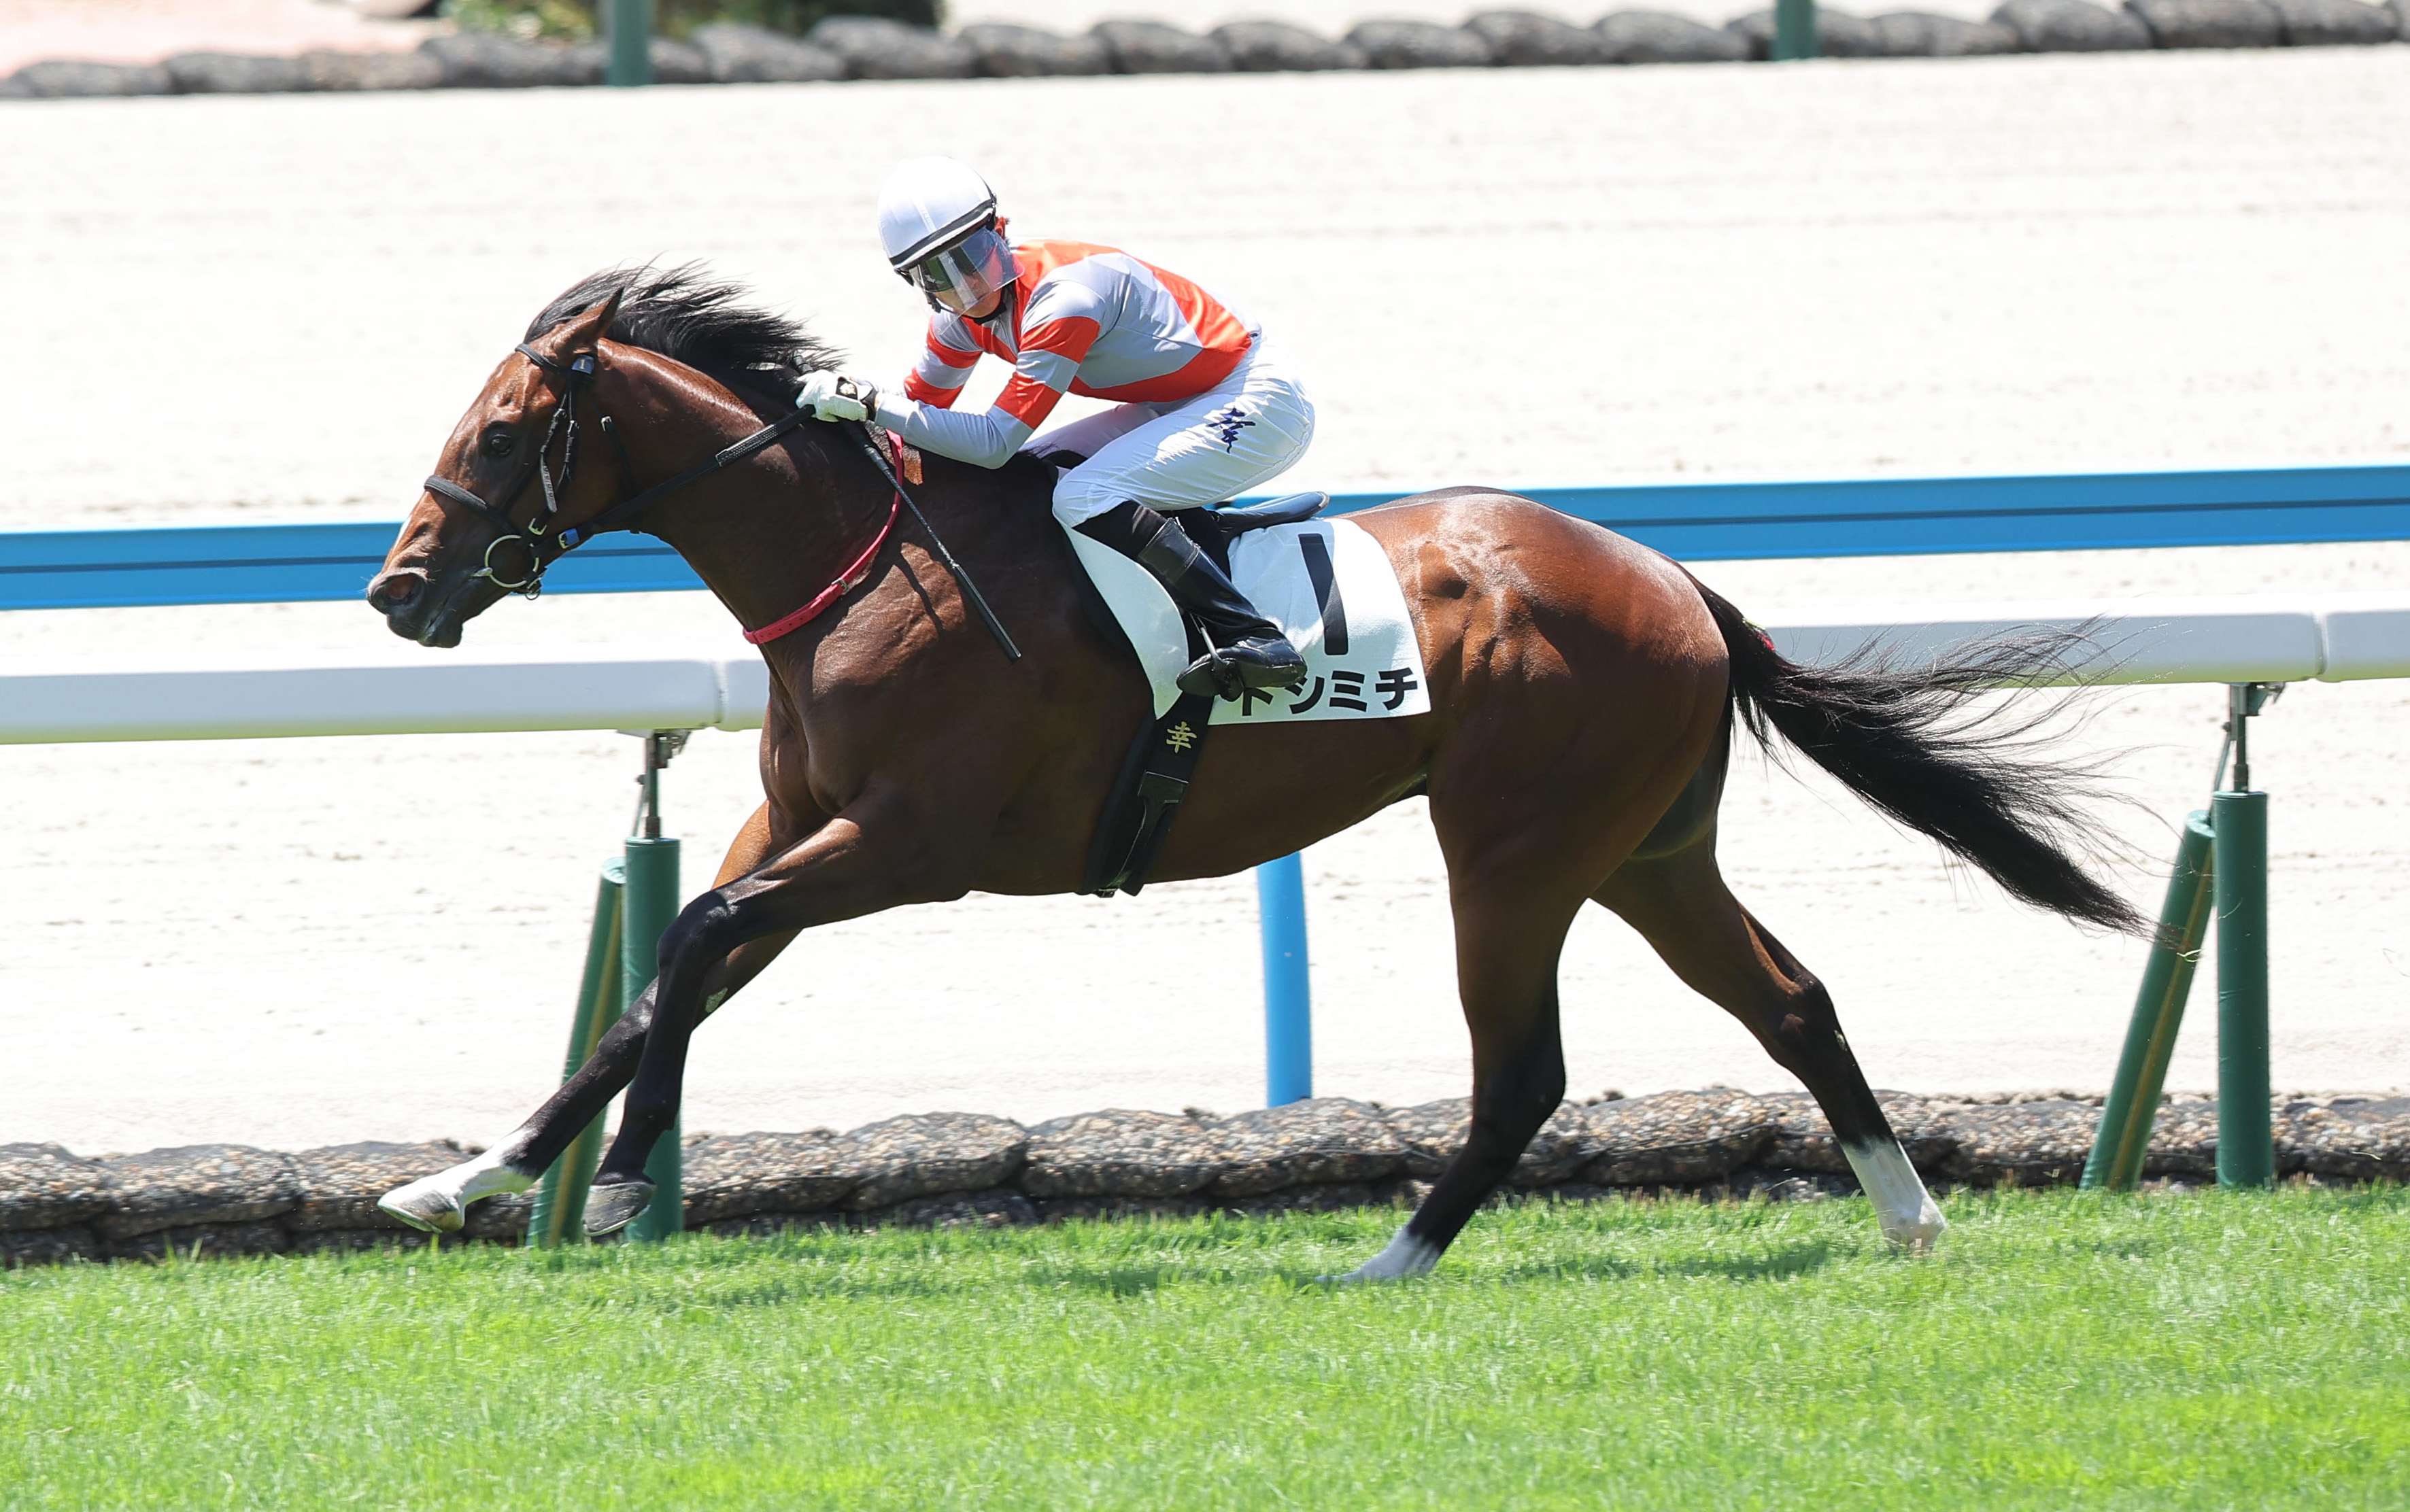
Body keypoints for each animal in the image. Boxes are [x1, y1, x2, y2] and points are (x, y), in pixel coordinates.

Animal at [367, 266, 2143, 1278]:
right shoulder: (800, 823)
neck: (868, 561)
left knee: (1526, 1069)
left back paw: (1392, 1257)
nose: (398, 588)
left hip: (1515, 850)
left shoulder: (906, 841)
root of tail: (1676, 582)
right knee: (1792, 1001)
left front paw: (582, 1189)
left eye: (507, 425)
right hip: (1647, 852)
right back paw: (1908, 1218)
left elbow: (687, 938)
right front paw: (481, 1179)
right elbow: (667, 975)